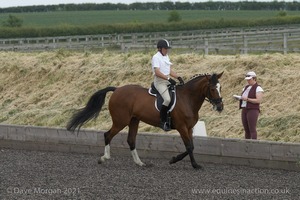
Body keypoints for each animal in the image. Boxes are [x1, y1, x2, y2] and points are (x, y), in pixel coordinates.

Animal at [67, 72, 224, 169]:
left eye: (220, 87)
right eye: (212, 88)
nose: (220, 107)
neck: (188, 99)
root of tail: (117, 89)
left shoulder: (189, 128)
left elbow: (191, 146)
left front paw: (174, 159)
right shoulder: (182, 127)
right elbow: (189, 147)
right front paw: (194, 165)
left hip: (134, 120)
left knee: (131, 140)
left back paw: (140, 163)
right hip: (121, 121)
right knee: (108, 135)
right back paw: (104, 158)